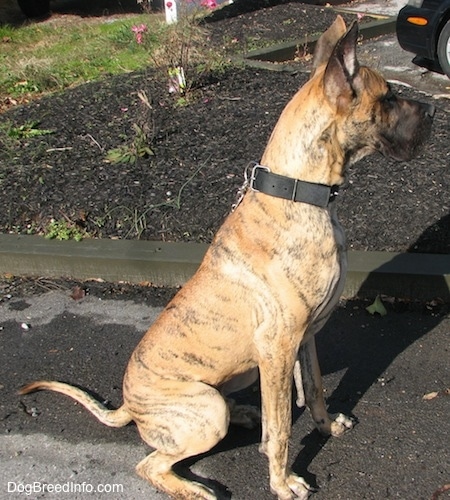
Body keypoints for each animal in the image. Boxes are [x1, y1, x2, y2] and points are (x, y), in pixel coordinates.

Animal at [21, 16, 436, 500]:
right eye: (387, 97)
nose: (433, 112)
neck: (302, 194)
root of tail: (127, 405)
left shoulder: (305, 339)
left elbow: (313, 390)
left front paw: (327, 427)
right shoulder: (277, 347)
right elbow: (281, 427)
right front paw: (282, 482)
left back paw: (242, 414)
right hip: (204, 410)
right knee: (149, 464)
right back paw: (196, 487)